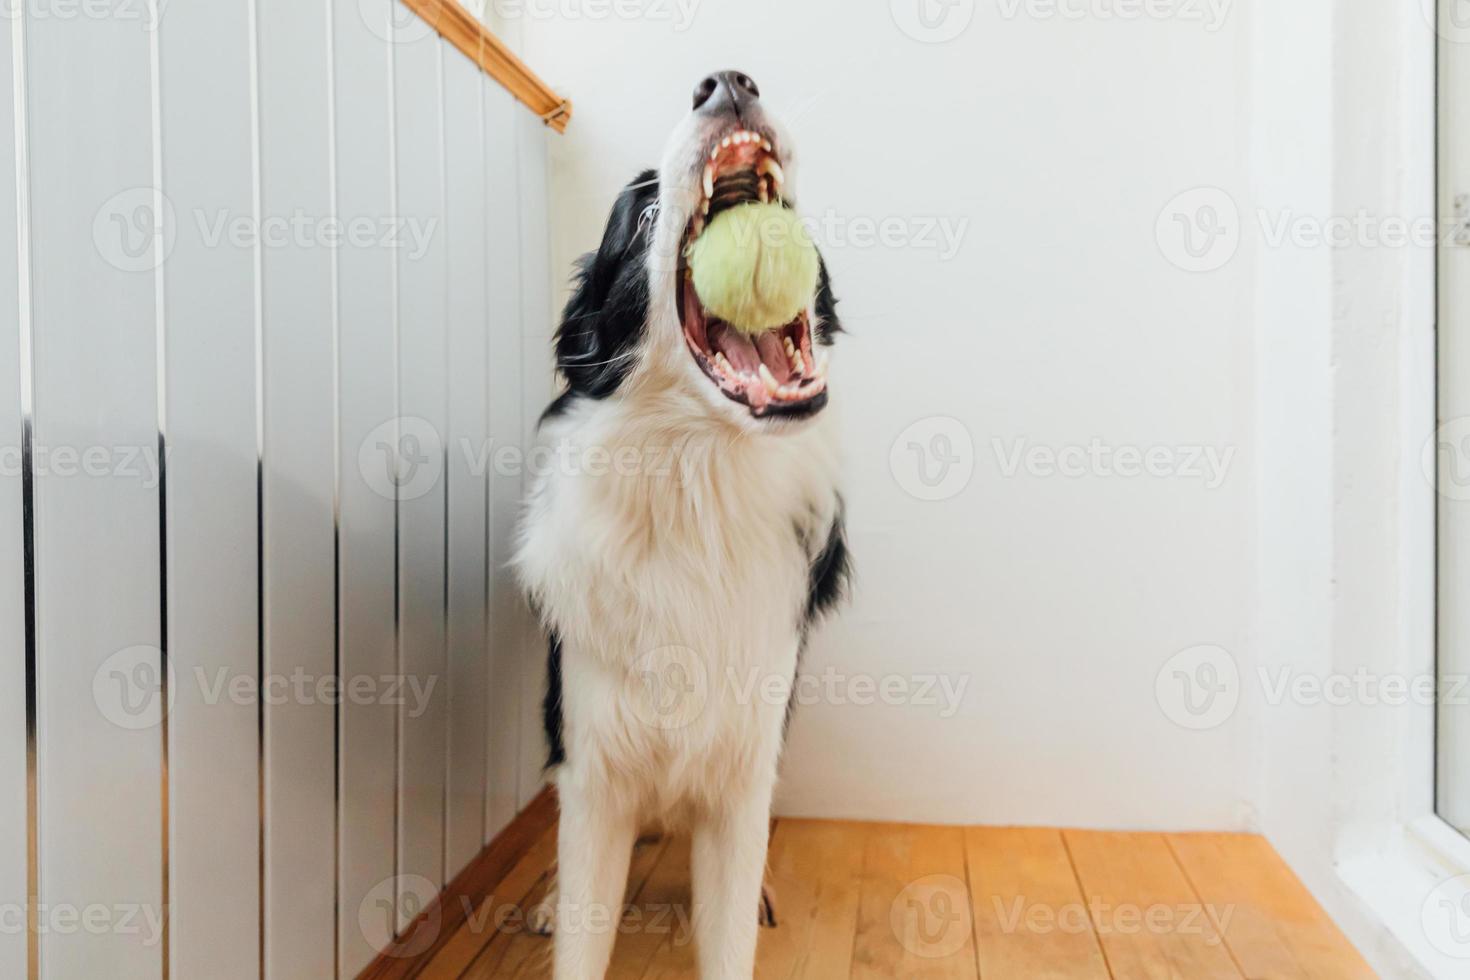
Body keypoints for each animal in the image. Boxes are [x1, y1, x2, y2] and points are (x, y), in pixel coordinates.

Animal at [517, 70, 852, 980]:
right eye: (639, 217)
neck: (695, 483)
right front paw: (564, 909)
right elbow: (583, 933)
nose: (728, 81)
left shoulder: (744, 769)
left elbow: (730, 931)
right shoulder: (592, 772)